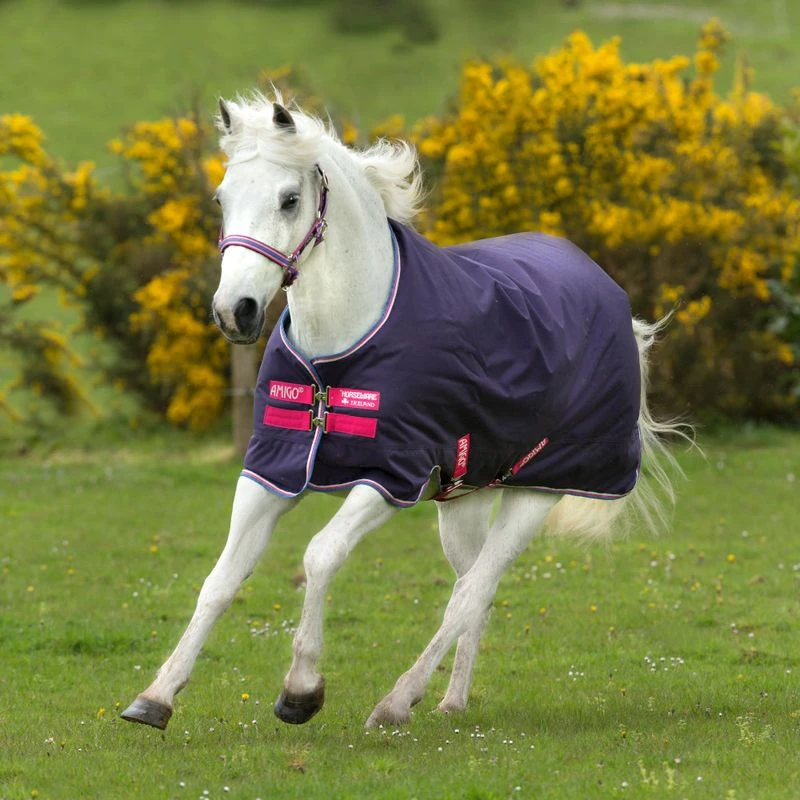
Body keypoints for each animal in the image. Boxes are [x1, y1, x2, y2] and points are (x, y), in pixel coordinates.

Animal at [122, 93, 683, 731]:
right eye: (222, 198)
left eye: (289, 199)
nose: (233, 312)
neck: (338, 355)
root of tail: (611, 296)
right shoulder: (271, 469)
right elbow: (220, 579)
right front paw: (156, 697)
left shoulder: (390, 477)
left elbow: (319, 556)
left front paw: (301, 691)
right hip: (465, 499)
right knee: (472, 590)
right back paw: (449, 700)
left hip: (539, 493)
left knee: (474, 590)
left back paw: (396, 701)